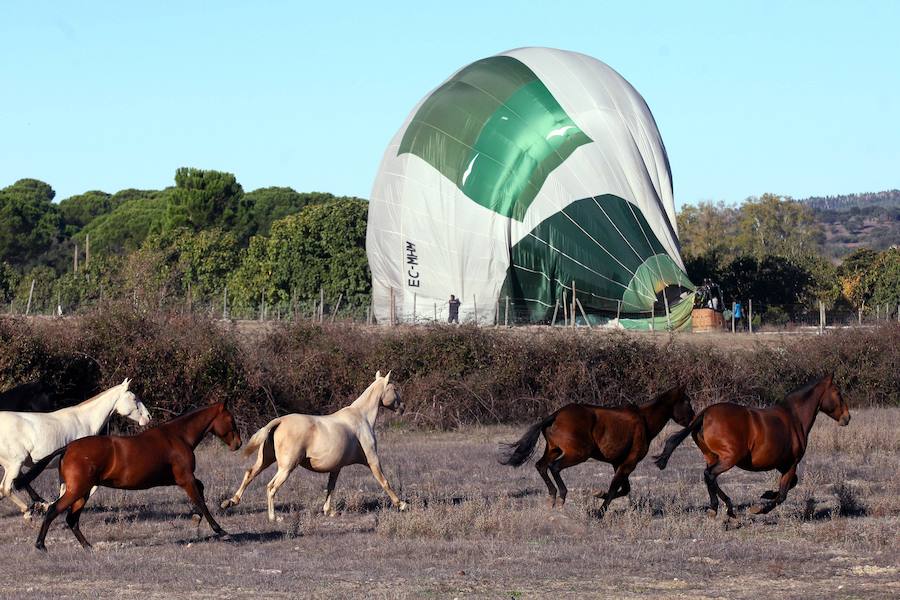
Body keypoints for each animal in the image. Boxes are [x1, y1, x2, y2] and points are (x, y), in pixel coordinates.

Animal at [0, 378, 149, 516]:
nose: (148, 417)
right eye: (134, 398)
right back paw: (27, 512)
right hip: (15, 464)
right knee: (6, 488)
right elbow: (88, 488)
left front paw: (51, 506)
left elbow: (64, 490)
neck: (85, 421)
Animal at [21, 400, 244, 552]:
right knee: (54, 510)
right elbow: (200, 500)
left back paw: (88, 546)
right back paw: (41, 545)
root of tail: (68, 448)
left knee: (71, 519)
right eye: (231, 420)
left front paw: (197, 518)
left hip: (82, 492)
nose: (238, 444)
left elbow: (201, 490)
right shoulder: (185, 478)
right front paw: (221, 531)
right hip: (77, 490)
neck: (179, 436)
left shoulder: (177, 479)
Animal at [221, 370, 408, 520]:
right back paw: (274, 518)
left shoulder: (336, 467)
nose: (403, 407)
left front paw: (328, 511)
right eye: (394, 388)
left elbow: (330, 487)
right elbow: (384, 481)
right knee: (271, 487)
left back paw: (230, 502)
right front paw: (401, 504)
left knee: (249, 473)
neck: (361, 417)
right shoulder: (372, 460)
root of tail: (279, 421)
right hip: (286, 467)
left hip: (266, 460)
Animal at [500, 386, 696, 512]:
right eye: (687, 402)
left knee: (541, 466)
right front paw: (600, 511)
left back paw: (552, 497)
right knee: (554, 467)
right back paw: (562, 496)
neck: (644, 420)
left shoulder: (618, 463)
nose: (693, 419)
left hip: (554, 450)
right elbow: (615, 488)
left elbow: (624, 489)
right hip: (578, 454)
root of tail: (555, 415)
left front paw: (599, 494)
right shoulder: (629, 462)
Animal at [652, 372, 852, 516]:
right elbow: (783, 494)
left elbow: (791, 484)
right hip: (730, 458)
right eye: (838, 393)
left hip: (711, 456)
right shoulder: (792, 463)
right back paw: (724, 509)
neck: (794, 417)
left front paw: (766, 494)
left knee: (710, 477)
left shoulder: (782, 464)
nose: (847, 418)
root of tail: (704, 414)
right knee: (710, 475)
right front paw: (759, 508)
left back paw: (720, 508)